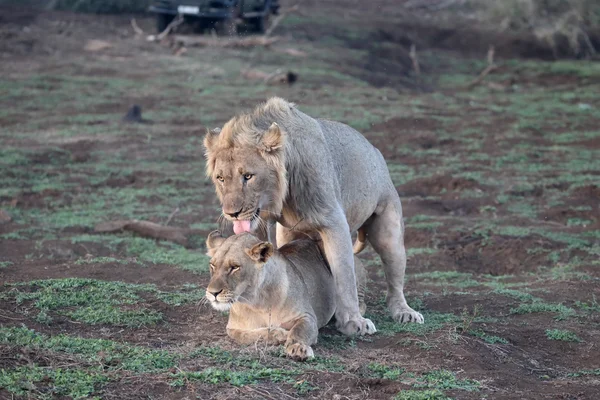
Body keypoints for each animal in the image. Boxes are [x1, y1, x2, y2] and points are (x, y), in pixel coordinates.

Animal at [204, 97, 424, 334]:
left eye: (248, 176)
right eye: (220, 178)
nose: (232, 213)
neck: (284, 193)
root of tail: (375, 150)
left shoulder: (334, 222)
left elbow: (344, 274)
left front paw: (353, 322)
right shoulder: (264, 224)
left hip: (389, 231)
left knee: (394, 279)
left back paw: (405, 312)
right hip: (288, 233)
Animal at [204, 230, 368, 360]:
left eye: (234, 267)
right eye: (212, 265)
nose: (213, 293)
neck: (257, 300)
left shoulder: (307, 316)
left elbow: (299, 331)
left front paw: (297, 347)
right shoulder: (233, 328)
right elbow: (248, 335)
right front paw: (280, 334)